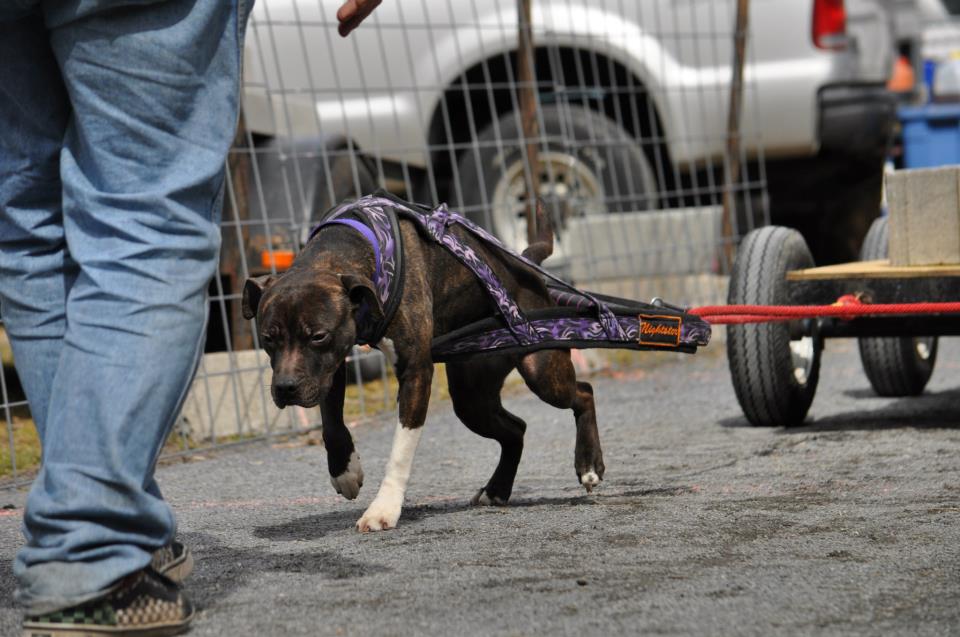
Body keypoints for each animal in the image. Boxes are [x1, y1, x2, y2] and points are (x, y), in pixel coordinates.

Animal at [242, 201, 600, 528]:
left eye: (318, 335)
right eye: (268, 338)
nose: (286, 387)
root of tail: (524, 262)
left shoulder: (414, 372)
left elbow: (400, 450)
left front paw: (383, 509)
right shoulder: (329, 368)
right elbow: (331, 424)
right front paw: (345, 471)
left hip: (542, 370)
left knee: (583, 392)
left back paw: (588, 465)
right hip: (472, 397)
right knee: (516, 429)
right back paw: (497, 489)